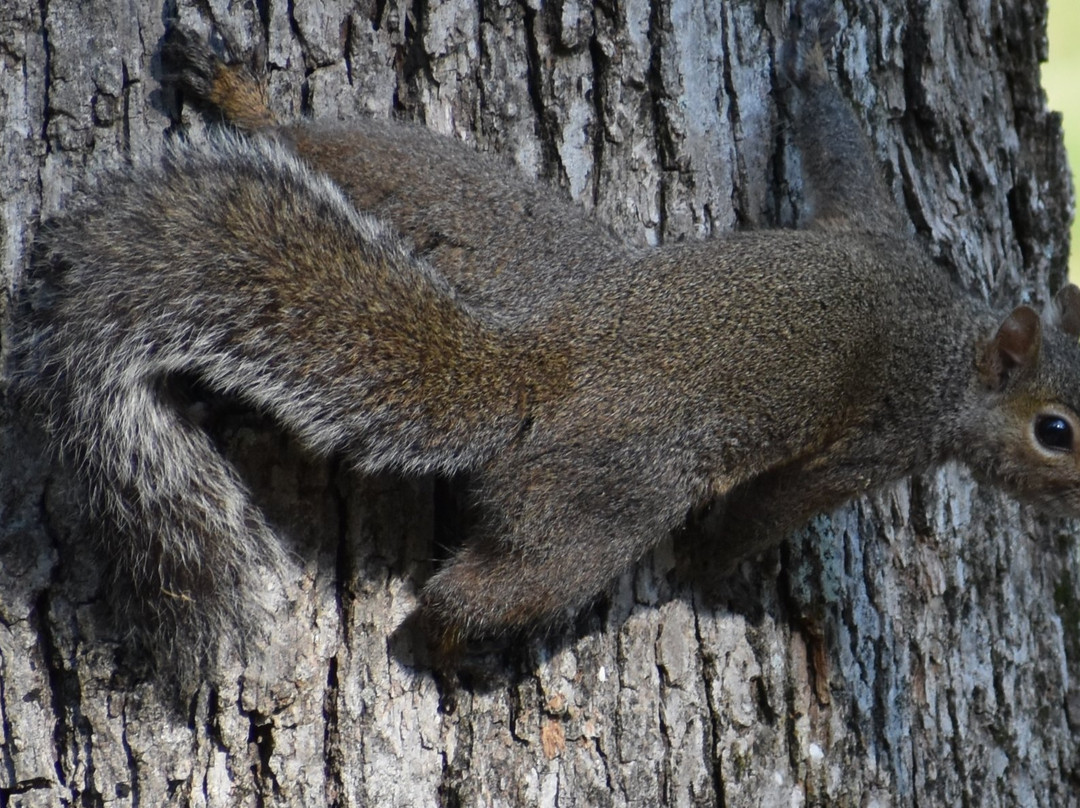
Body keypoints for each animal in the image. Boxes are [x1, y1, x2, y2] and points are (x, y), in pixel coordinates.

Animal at [12, 6, 1080, 687]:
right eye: (1057, 431)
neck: (954, 332)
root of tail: (536, 362)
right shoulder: (884, 436)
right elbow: (764, 515)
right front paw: (725, 578)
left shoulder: (870, 225)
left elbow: (836, 145)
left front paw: (812, 51)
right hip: (598, 503)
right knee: (479, 591)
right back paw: (459, 654)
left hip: (483, 219)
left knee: (337, 153)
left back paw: (244, 102)